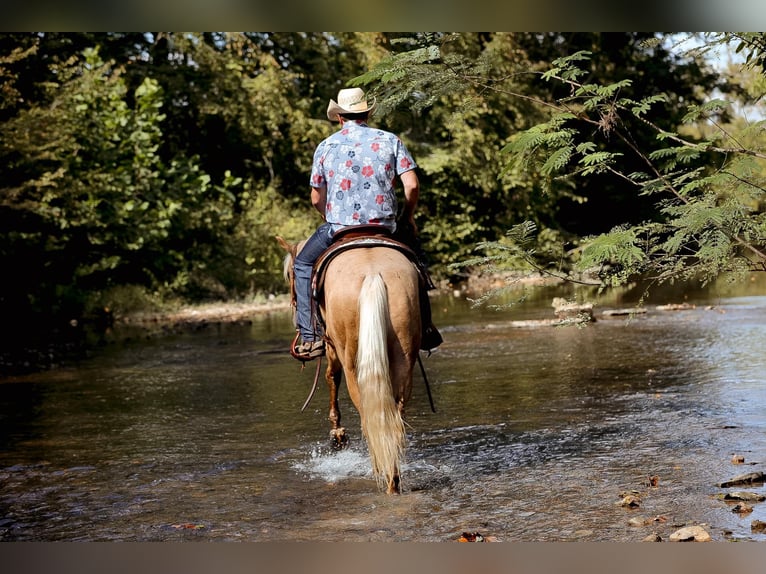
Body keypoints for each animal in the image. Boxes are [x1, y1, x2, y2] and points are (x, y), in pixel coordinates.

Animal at [278, 236, 424, 498]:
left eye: (289, 275)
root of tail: (373, 274)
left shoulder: (332, 346)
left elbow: (331, 377)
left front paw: (337, 435)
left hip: (350, 359)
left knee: (366, 411)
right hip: (404, 357)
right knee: (394, 417)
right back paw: (393, 477)